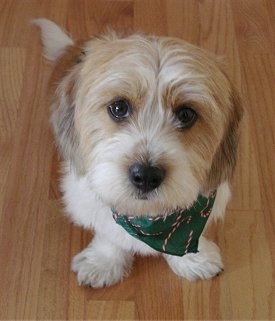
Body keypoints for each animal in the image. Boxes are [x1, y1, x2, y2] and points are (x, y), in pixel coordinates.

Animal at [34, 18, 244, 288]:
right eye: (118, 107)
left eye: (186, 114)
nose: (145, 176)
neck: (150, 220)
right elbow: (109, 234)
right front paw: (104, 261)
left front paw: (193, 259)